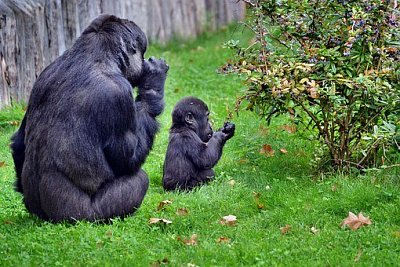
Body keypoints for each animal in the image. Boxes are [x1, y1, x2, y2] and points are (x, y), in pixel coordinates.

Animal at [10, 15, 167, 224]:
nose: (142, 62)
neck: (95, 54)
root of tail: (50, 219)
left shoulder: (41, 77)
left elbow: (19, 143)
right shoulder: (118, 93)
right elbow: (128, 161)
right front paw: (153, 86)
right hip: (83, 217)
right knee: (139, 179)